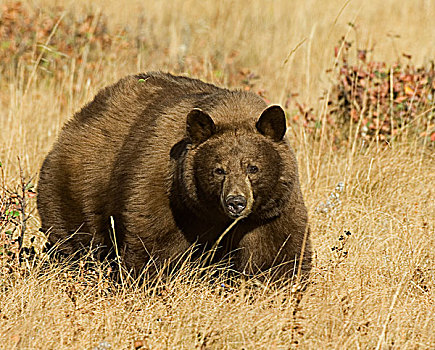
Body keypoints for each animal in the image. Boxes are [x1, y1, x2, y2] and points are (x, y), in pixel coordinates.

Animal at [36, 72, 310, 280]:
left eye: (253, 168)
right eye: (218, 169)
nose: (236, 202)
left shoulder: (271, 209)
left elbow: (276, 253)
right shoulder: (167, 193)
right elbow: (155, 245)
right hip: (80, 185)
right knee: (77, 239)